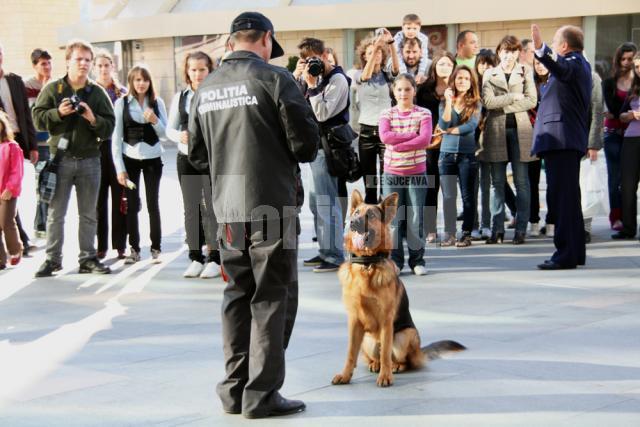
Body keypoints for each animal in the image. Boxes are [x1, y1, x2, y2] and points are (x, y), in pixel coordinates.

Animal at [332, 191, 462, 388]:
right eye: (356, 213)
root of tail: (420, 352)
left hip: (405, 335)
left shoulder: (386, 321)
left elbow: (386, 352)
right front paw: (345, 375)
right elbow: (350, 354)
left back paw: (396, 366)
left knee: (401, 359)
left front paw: (385, 377)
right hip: (367, 340)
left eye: (371, 215)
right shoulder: (354, 321)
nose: (352, 222)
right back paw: (375, 363)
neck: (367, 265)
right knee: (374, 356)